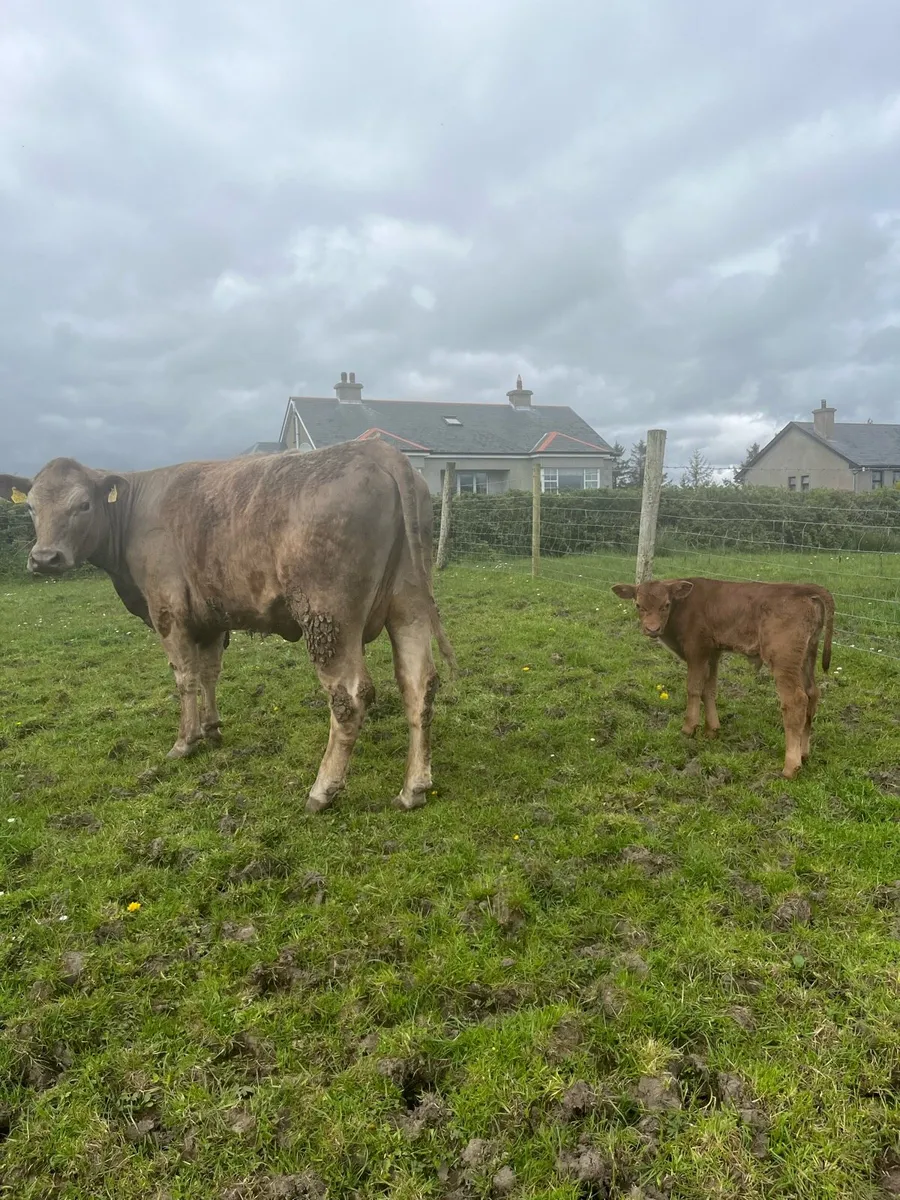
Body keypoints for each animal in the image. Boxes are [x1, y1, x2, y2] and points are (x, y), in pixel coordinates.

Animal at [1, 442, 457, 812]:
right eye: (31, 507)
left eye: (83, 505)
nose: (44, 559)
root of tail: (378, 450)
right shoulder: (209, 619)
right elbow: (209, 674)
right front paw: (212, 730)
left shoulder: (168, 612)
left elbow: (184, 677)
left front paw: (185, 742)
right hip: (409, 605)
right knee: (419, 684)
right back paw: (413, 788)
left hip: (328, 615)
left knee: (349, 696)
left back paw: (322, 790)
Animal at [611, 577, 835, 778]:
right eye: (638, 605)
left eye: (666, 604)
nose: (652, 629)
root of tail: (804, 588)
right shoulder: (713, 652)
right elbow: (709, 690)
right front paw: (712, 730)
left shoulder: (697, 650)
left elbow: (693, 688)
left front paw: (688, 729)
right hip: (807, 656)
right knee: (812, 694)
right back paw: (804, 753)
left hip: (783, 659)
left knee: (795, 701)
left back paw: (790, 766)